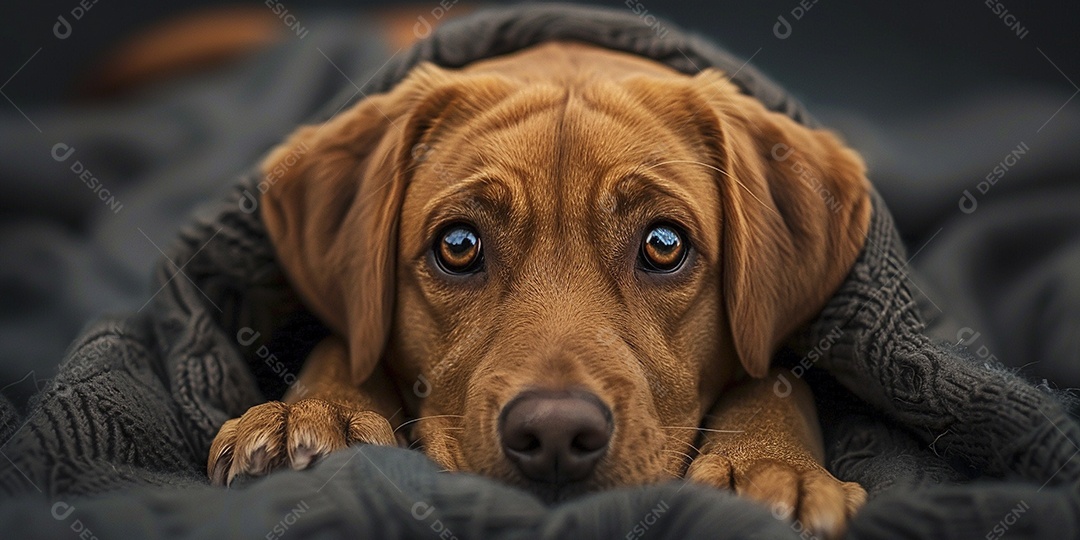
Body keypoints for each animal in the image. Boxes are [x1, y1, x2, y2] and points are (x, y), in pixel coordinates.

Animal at [206, 41, 872, 535]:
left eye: (664, 243)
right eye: (458, 244)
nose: (555, 434)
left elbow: (775, 381)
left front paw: (768, 465)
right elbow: (344, 345)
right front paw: (313, 410)